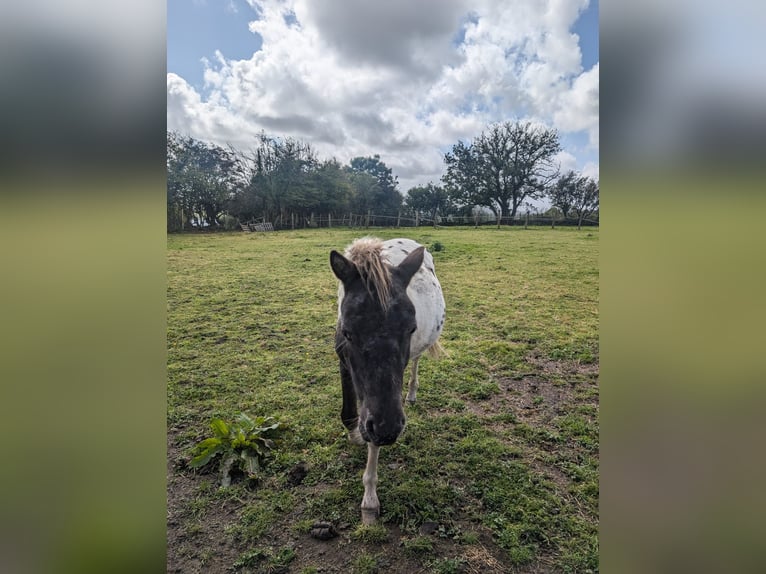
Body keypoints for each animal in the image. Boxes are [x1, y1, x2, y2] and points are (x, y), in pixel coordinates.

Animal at [329, 237, 446, 524]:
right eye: (347, 332)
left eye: (411, 328)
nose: (389, 429)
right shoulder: (345, 363)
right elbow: (351, 413)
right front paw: (355, 434)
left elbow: (374, 438)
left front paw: (369, 500)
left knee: (416, 361)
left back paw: (412, 392)